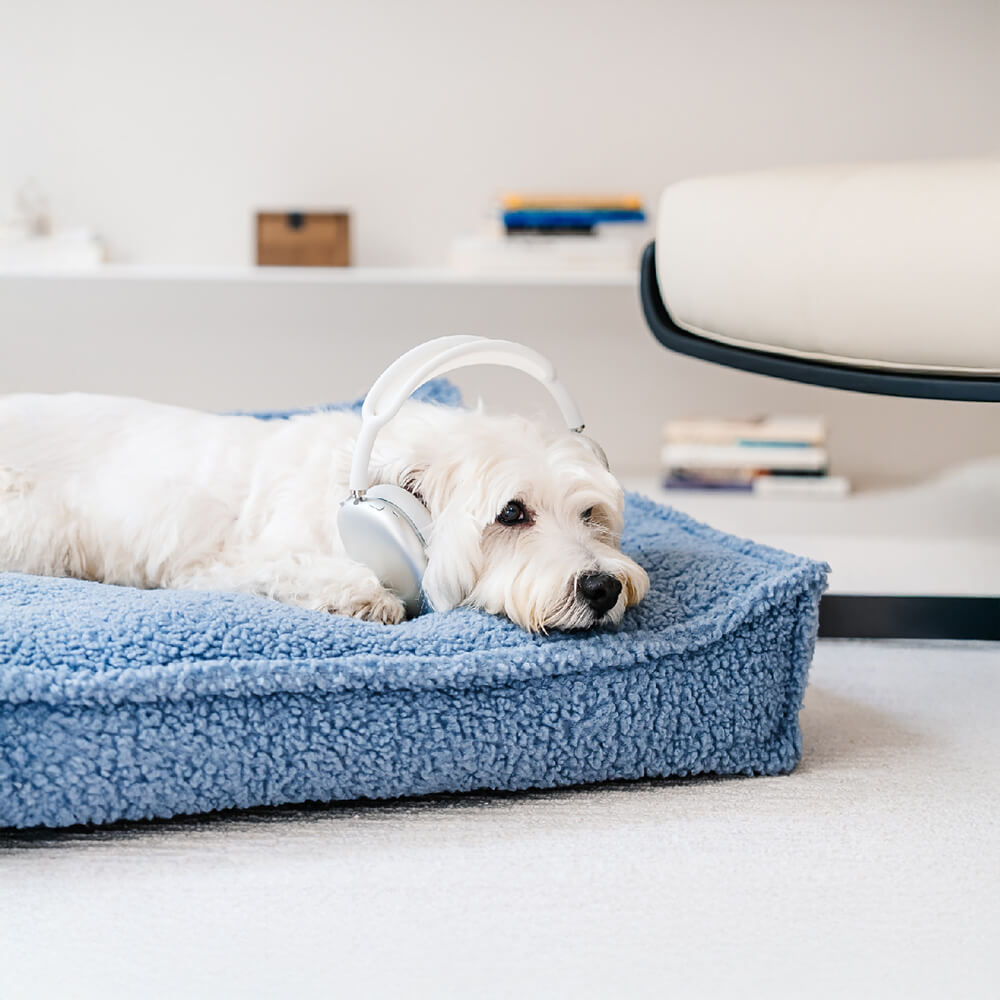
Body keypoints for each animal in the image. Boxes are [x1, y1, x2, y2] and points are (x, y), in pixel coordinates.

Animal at [0, 394, 648, 628]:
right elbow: (297, 570)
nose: (601, 588)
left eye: (591, 514)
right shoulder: (226, 566)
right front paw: (367, 597)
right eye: (511, 513)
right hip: (36, 533)